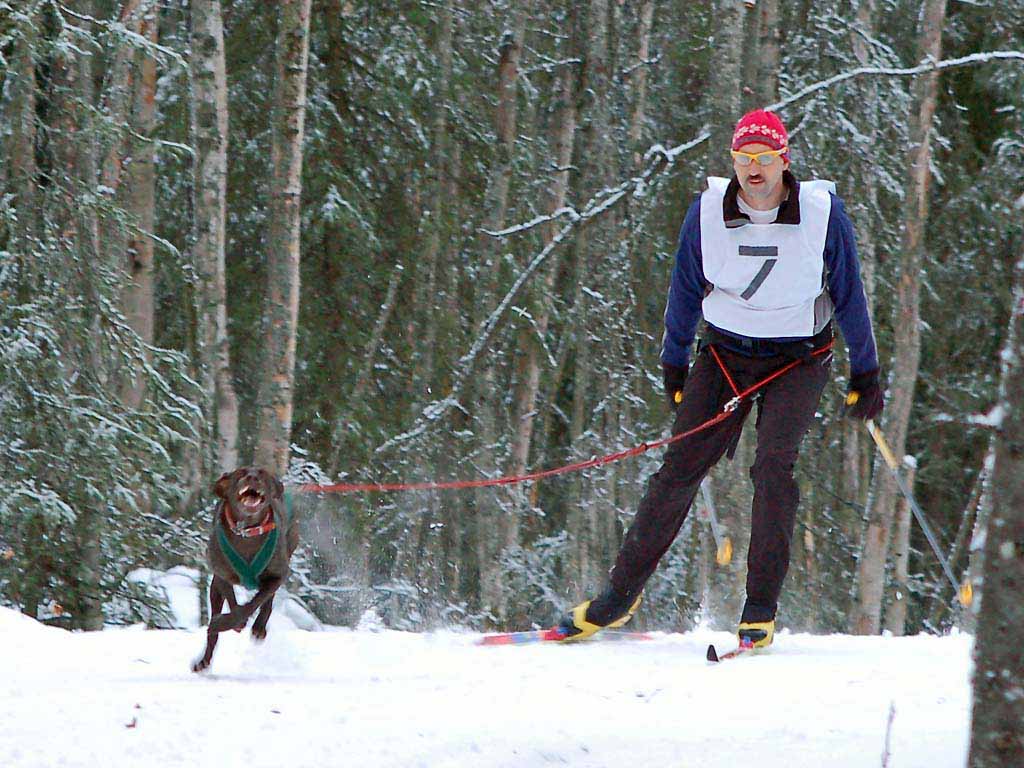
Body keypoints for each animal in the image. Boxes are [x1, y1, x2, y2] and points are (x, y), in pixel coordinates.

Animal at [191, 466, 299, 671]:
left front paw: (232, 622)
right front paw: (233, 623)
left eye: (262, 474)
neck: (246, 531)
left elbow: (253, 604)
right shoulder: (221, 576)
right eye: (240, 473)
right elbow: (233, 602)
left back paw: (258, 628)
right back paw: (204, 660)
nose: (252, 477)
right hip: (215, 589)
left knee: (267, 601)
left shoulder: (277, 575)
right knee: (213, 630)